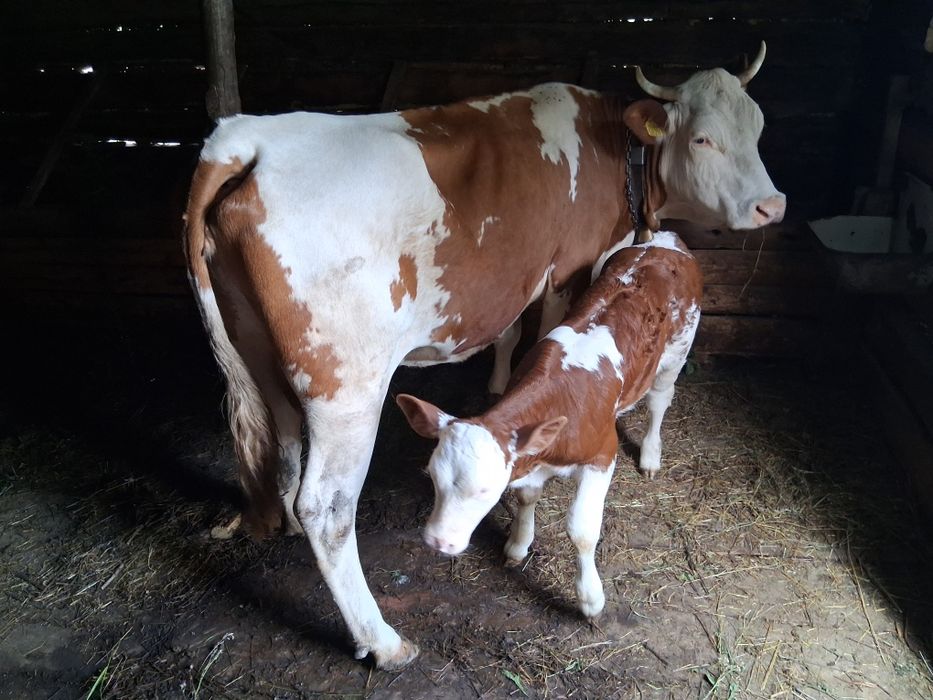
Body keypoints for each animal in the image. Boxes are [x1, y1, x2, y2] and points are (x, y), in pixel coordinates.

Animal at [396, 230, 702, 619]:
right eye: (433, 477)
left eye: (485, 491)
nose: (437, 541)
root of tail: (664, 241)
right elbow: (527, 496)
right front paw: (518, 544)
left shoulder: (603, 455)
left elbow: (582, 530)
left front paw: (590, 598)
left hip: (677, 351)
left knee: (660, 400)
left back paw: (650, 456)